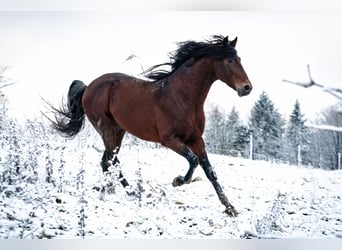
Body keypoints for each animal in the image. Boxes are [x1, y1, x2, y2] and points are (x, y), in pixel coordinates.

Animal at [52, 35, 252, 217]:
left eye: (240, 59)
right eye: (230, 60)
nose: (247, 88)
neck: (182, 97)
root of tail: (88, 87)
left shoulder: (196, 139)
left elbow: (210, 171)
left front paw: (230, 208)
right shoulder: (168, 139)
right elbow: (193, 160)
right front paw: (178, 181)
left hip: (119, 130)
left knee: (107, 160)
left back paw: (114, 191)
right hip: (106, 128)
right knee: (111, 160)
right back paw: (128, 192)